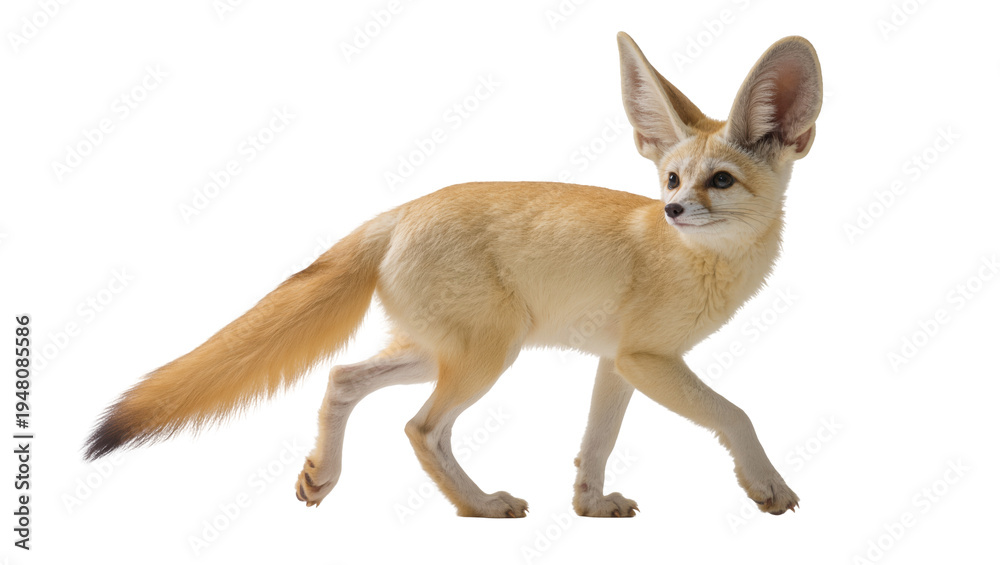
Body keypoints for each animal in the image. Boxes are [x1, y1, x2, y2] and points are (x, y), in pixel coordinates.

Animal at [84, 32, 822, 519]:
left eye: (718, 181)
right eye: (671, 179)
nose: (671, 210)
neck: (702, 262)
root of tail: (399, 211)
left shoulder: (618, 363)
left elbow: (596, 443)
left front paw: (589, 505)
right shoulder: (648, 359)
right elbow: (735, 413)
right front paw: (767, 486)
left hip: (439, 352)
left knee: (341, 378)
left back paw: (323, 475)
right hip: (484, 358)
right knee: (420, 427)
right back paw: (479, 505)